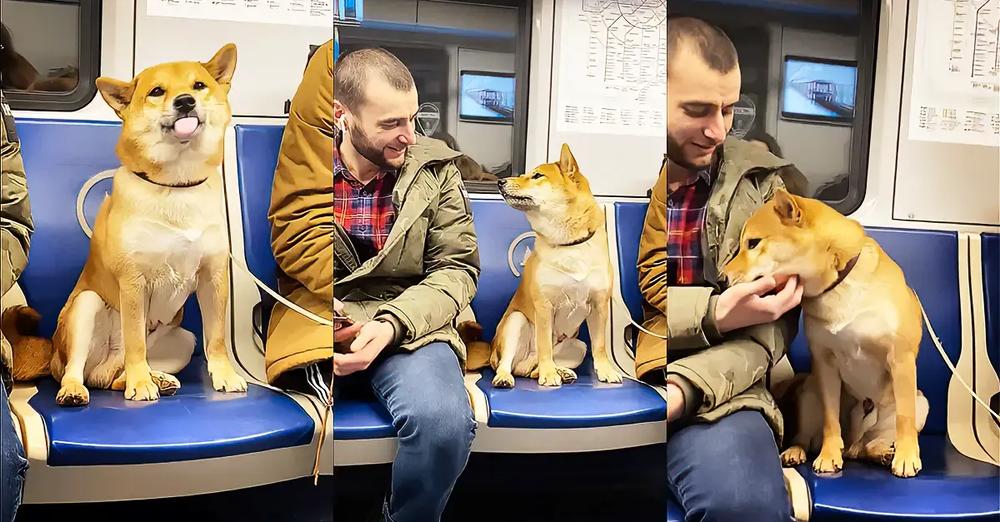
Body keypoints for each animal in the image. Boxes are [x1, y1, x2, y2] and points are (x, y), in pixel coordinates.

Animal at [1, 43, 248, 402]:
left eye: (199, 85)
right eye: (157, 91)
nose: (185, 101)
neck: (176, 186)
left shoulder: (212, 277)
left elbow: (215, 338)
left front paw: (225, 374)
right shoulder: (133, 282)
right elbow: (135, 341)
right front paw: (140, 383)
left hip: (182, 340)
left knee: (117, 377)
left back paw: (155, 379)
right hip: (86, 308)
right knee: (78, 370)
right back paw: (85, 387)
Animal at [458, 142, 616, 386]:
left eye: (537, 176)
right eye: (526, 174)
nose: (500, 182)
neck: (569, 244)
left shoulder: (599, 305)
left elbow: (599, 346)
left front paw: (606, 371)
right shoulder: (544, 306)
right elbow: (544, 347)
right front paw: (549, 374)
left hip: (578, 346)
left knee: (532, 370)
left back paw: (561, 372)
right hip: (516, 322)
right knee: (509, 364)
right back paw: (510, 376)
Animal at [724, 188, 924, 476]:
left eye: (753, 243)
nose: (723, 277)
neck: (840, 283)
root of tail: (853, 444)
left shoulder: (900, 358)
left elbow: (904, 418)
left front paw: (907, 456)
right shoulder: (825, 362)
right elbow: (831, 421)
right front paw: (829, 456)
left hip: (919, 404)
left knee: (871, 444)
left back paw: (883, 453)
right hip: (809, 393)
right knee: (807, 438)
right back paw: (797, 452)